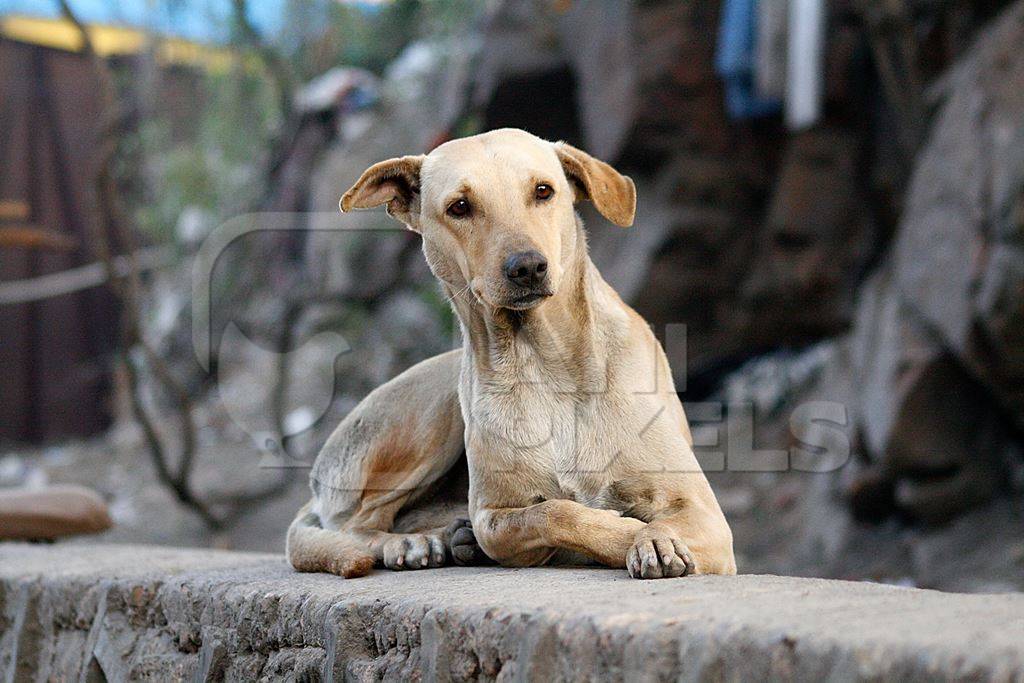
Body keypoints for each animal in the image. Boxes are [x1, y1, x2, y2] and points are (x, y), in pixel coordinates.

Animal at [288, 126, 737, 577]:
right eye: (460, 207)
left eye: (543, 191)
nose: (527, 267)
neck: (545, 363)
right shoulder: (494, 516)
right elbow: (553, 513)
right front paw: (629, 534)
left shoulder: (705, 514)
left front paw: (654, 539)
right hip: (431, 416)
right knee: (357, 523)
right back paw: (414, 542)